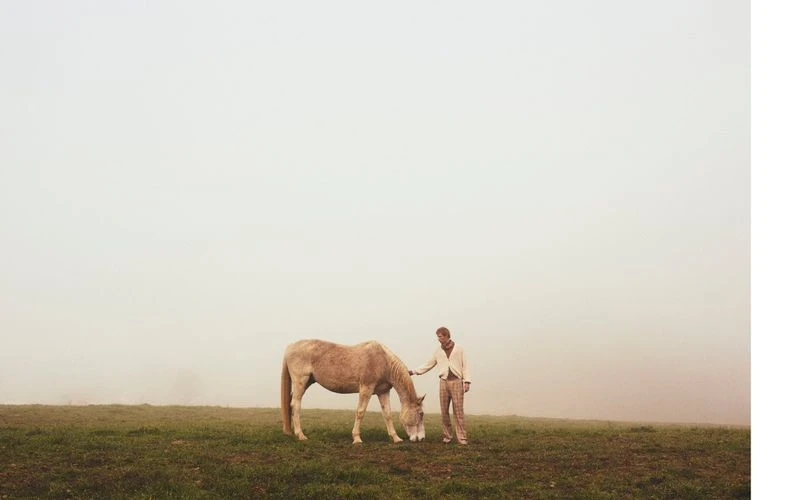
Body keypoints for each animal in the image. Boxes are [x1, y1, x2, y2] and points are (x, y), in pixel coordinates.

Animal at [281, 339, 426, 444]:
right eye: (421, 414)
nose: (422, 438)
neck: (383, 361)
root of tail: (290, 347)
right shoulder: (366, 388)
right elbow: (360, 412)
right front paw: (356, 438)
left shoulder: (383, 392)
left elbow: (387, 414)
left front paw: (396, 438)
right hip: (300, 382)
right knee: (296, 405)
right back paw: (301, 435)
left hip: (306, 383)